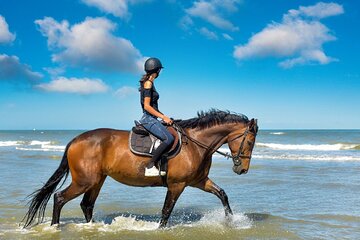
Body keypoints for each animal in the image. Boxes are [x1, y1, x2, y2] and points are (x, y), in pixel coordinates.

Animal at [22, 109, 258, 228]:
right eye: (249, 141)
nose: (242, 170)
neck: (194, 144)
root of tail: (75, 140)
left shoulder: (198, 181)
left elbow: (222, 194)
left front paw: (231, 220)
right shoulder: (177, 184)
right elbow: (166, 211)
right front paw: (160, 230)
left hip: (97, 181)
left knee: (86, 204)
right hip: (84, 181)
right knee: (60, 198)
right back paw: (55, 227)